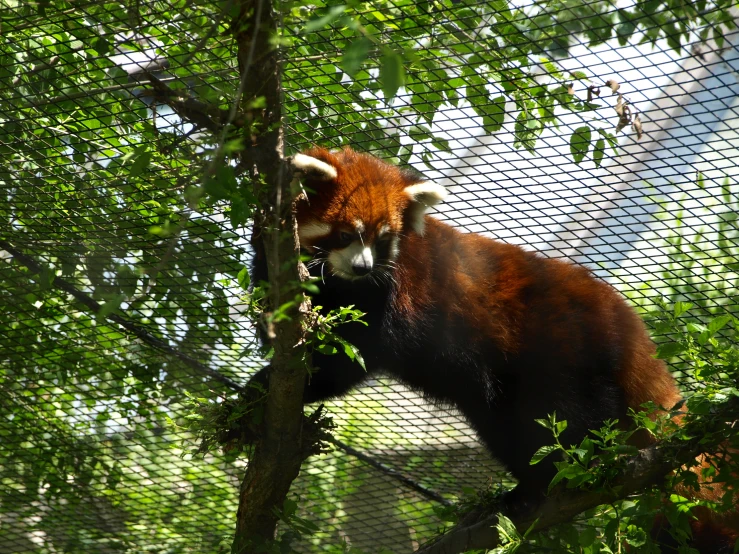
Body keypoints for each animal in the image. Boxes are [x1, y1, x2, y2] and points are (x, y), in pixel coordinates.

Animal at [251, 146, 736, 548]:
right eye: (346, 234)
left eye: (382, 239)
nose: (363, 267)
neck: (339, 282)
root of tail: (625, 320)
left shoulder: (386, 301)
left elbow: (346, 360)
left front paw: (268, 387)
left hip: (561, 351)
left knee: (563, 417)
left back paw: (556, 478)